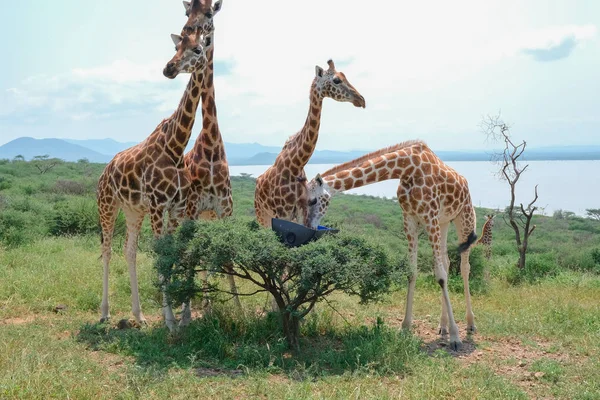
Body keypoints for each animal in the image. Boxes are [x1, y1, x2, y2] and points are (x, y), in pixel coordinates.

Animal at [99, 18, 217, 330]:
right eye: (177, 47)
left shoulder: (174, 208)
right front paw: (170, 321)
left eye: (197, 48)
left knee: (129, 250)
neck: (176, 147)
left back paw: (138, 315)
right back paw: (104, 312)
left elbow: (172, 256)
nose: (169, 68)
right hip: (107, 205)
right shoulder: (157, 205)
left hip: (133, 210)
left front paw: (174, 315)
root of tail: (105, 169)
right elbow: (161, 257)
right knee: (107, 250)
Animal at [253, 59, 366, 228]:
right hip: (262, 215)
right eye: (336, 80)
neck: (296, 165)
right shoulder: (282, 211)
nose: (361, 99)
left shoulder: (302, 208)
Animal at [304, 141, 478, 350]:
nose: (309, 226)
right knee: (446, 261)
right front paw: (405, 327)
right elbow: (413, 272)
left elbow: (441, 276)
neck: (407, 168)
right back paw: (442, 326)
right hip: (443, 221)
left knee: (464, 267)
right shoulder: (410, 218)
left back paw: (470, 324)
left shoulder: (429, 216)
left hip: (464, 218)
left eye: (313, 200)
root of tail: (464, 182)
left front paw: (455, 337)